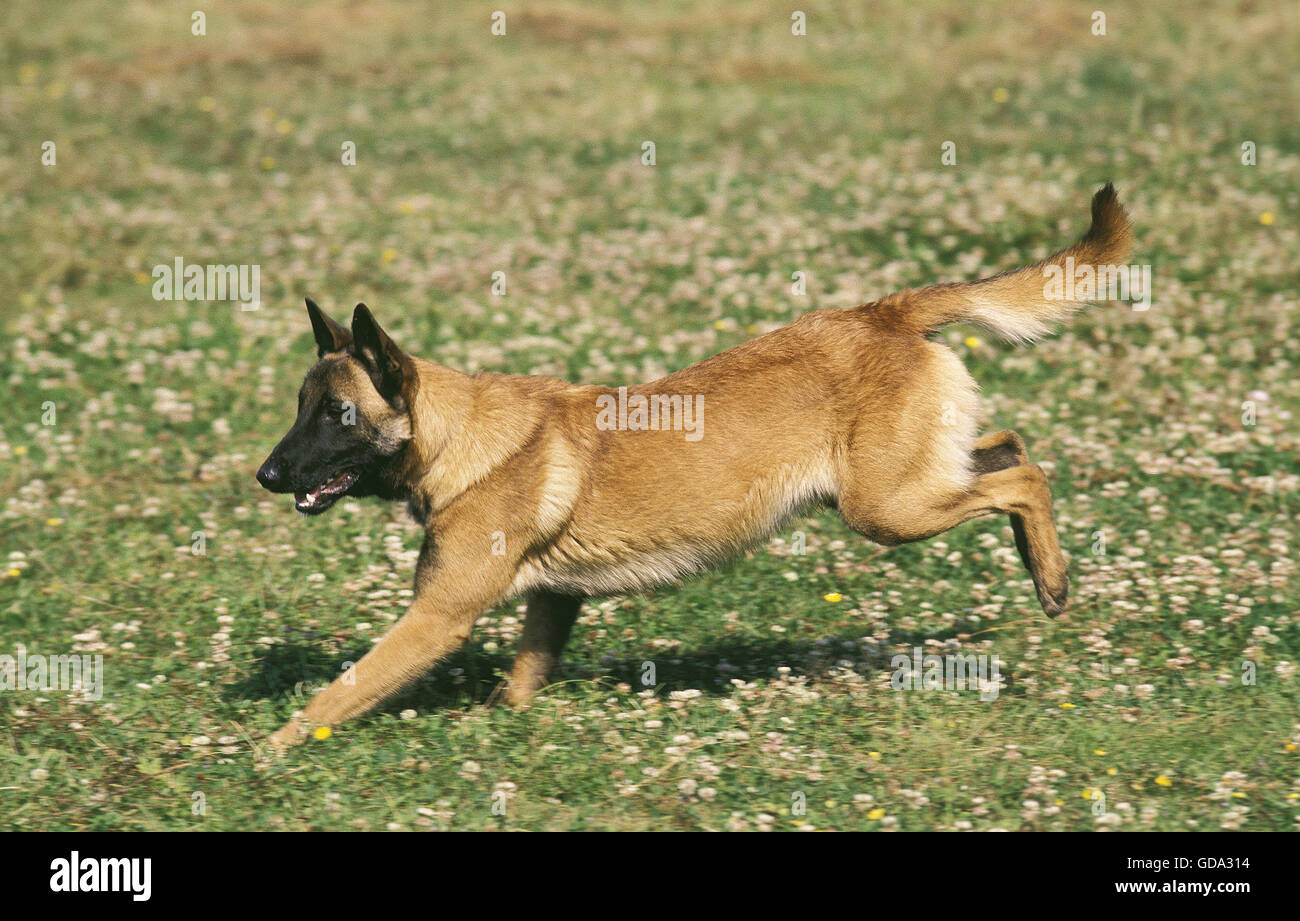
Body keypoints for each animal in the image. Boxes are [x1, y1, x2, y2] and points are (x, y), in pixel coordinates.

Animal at [258, 182, 1133, 749]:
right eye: (299, 406)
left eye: (335, 415)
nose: (264, 476)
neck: (457, 440)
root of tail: (884, 311)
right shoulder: (553, 600)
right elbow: (521, 682)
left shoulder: (435, 619)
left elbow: (338, 691)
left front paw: (267, 750)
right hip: (912, 484)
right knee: (1011, 448)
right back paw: (1041, 565)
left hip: (888, 509)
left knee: (1023, 479)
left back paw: (1053, 581)